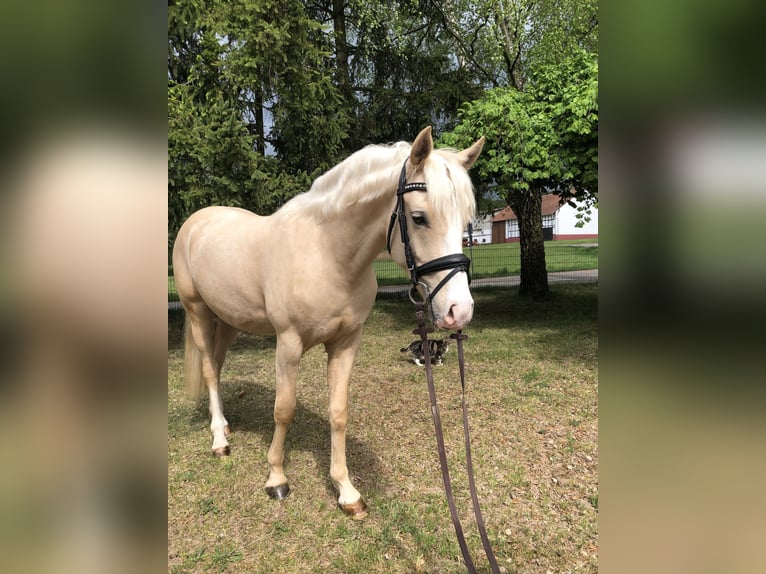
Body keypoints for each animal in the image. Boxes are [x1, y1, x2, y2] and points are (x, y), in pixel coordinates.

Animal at [172, 126, 484, 518]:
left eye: (466, 220)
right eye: (418, 218)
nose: (460, 309)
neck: (327, 254)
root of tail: (197, 221)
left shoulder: (346, 342)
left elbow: (338, 412)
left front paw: (346, 491)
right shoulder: (288, 344)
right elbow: (284, 409)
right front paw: (276, 478)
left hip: (227, 319)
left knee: (216, 363)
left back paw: (226, 426)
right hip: (197, 311)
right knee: (210, 371)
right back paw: (218, 439)